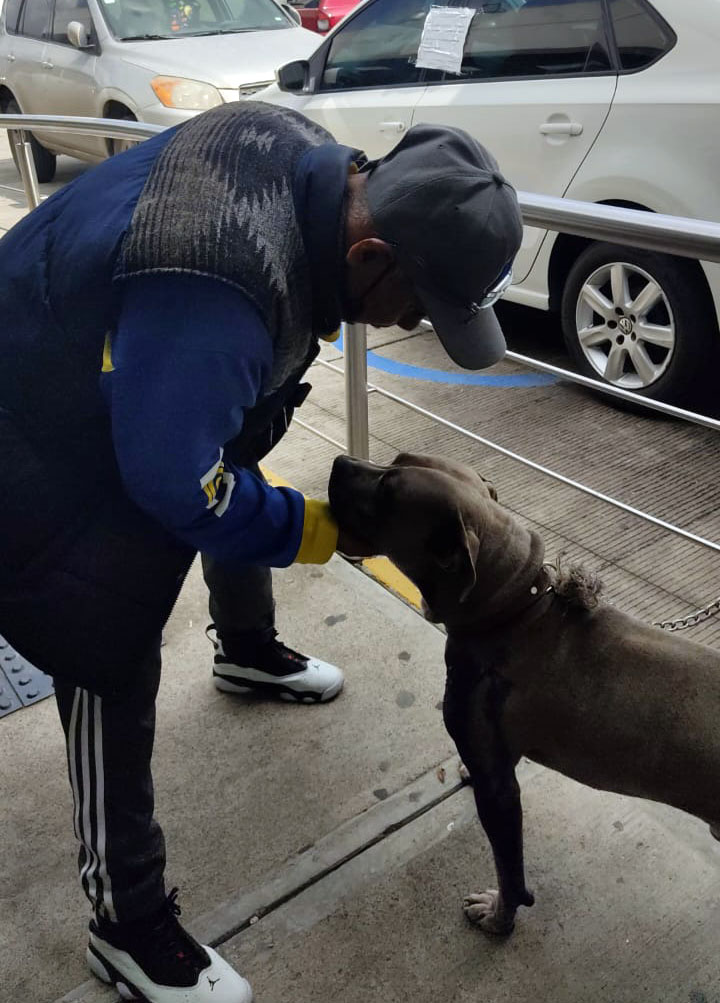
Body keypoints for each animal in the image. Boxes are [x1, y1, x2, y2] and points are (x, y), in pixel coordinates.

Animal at [328, 451, 720, 934]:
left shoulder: (498, 794)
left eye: (387, 491)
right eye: (396, 458)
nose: (339, 460)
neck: (514, 610)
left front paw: (499, 917)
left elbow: (509, 872)